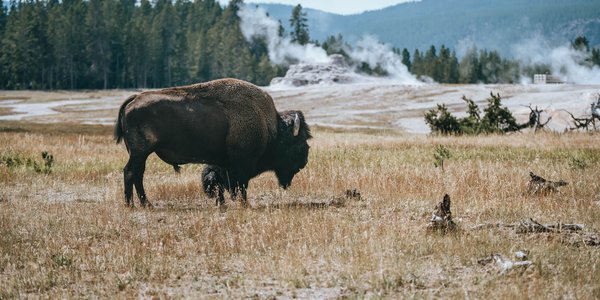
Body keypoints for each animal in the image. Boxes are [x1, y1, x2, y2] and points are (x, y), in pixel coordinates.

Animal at [113, 78, 312, 207]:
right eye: (299, 142)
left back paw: (144, 204)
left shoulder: (223, 163)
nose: (304, 162)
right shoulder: (241, 165)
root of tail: (133, 99)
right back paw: (132, 204)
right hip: (140, 152)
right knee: (131, 172)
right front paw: (244, 204)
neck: (270, 126)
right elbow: (240, 186)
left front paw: (223, 204)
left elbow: (220, 182)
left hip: (140, 153)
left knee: (137, 174)